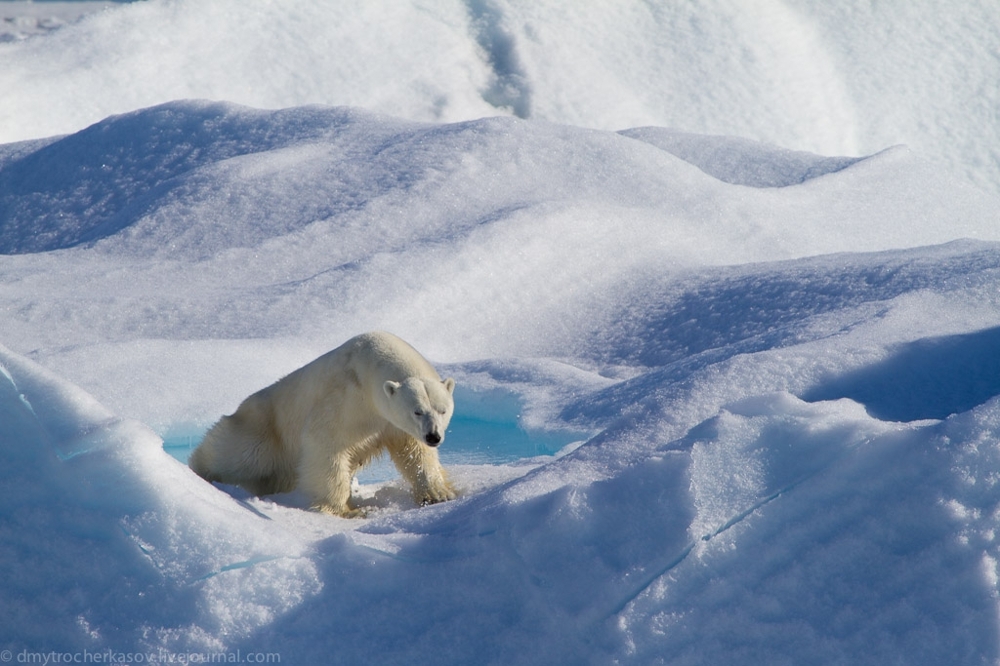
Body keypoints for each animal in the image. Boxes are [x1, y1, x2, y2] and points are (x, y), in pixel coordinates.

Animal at [189, 330, 458, 512]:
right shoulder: (348, 399)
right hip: (263, 428)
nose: (434, 436)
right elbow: (326, 443)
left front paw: (438, 494)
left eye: (442, 410)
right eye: (417, 411)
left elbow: (414, 452)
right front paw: (346, 511)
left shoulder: (393, 422)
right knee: (235, 451)